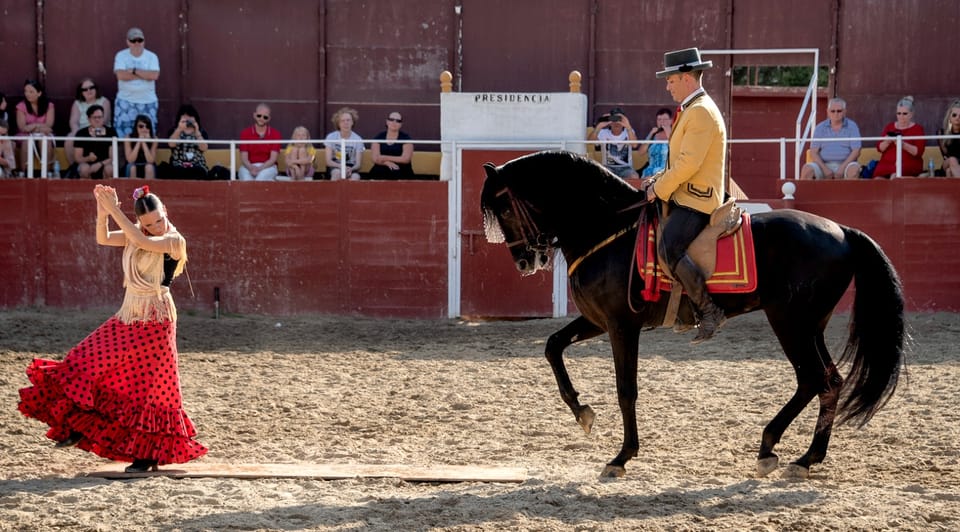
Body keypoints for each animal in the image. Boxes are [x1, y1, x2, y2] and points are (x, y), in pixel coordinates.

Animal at [484, 150, 904, 478]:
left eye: (504, 207)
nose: (524, 261)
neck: (607, 231)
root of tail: (843, 230)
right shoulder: (597, 321)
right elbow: (553, 346)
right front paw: (581, 411)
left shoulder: (622, 325)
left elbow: (626, 389)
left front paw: (622, 456)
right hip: (811, 325)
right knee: (829, 382)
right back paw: (807, 457)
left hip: (790, 323)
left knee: (813, 379)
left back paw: (772, 447)